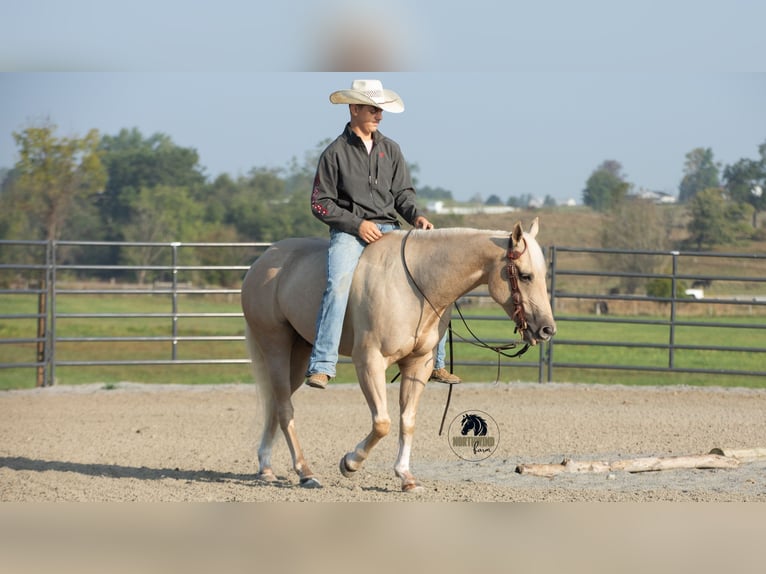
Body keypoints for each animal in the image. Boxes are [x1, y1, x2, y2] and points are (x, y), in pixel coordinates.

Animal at [240, 218, 556, 492]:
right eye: (525, 276)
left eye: (543, 276)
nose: (547, 329)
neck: (416, 285)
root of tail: (261, 262)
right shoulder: (369, 361)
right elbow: (383, 423)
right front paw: (350, 463)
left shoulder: (418, 366)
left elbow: (408, 420)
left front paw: (406, 477)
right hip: (276, 346)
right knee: (284, 409)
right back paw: (305, 473)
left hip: (300, 353)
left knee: (275, 405)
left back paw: (266, 468)